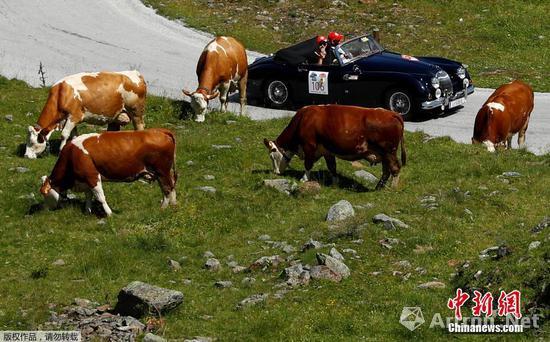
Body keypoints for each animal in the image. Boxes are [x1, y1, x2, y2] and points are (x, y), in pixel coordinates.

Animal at [39, 128, 177, 216]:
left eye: (45, 194)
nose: (46, 209)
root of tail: (160, 130)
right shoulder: (86, 179)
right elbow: (89, 195)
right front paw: (87, 211)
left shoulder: (92, 175)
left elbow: (100, 196)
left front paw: (110, 214)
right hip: (163, 172)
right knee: (171, 187)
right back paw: (173, 205)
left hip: (162, 171)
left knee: (167, 189)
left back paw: (163, 208)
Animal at [266, 104, 408, 190]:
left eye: (272, 155)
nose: (276, 172)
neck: (304, 119)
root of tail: (392, 113)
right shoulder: (327, 151)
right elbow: (332, 167)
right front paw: (335, 183)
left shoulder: (309, 146)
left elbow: (308, 164)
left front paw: (304, 179)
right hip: (384, 154)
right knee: (386, 171)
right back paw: (379, 187)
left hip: (389, 151)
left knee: (394, 169)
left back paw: (392, 188)